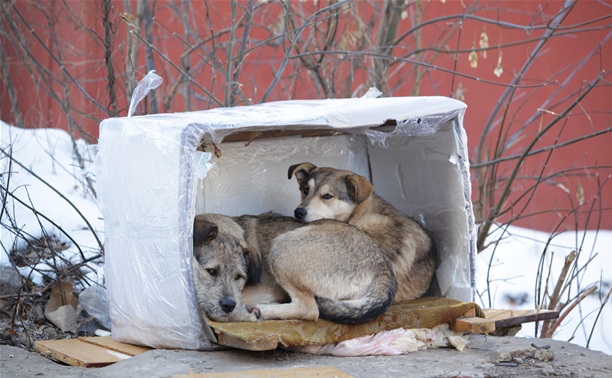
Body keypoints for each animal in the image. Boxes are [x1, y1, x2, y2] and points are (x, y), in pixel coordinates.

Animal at [194, 211, 400, 324]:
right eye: (211, 271)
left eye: (239, 277)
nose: (228, 306)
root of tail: (383, 264)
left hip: (281, 248)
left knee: (309, 309)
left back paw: (262, 311)